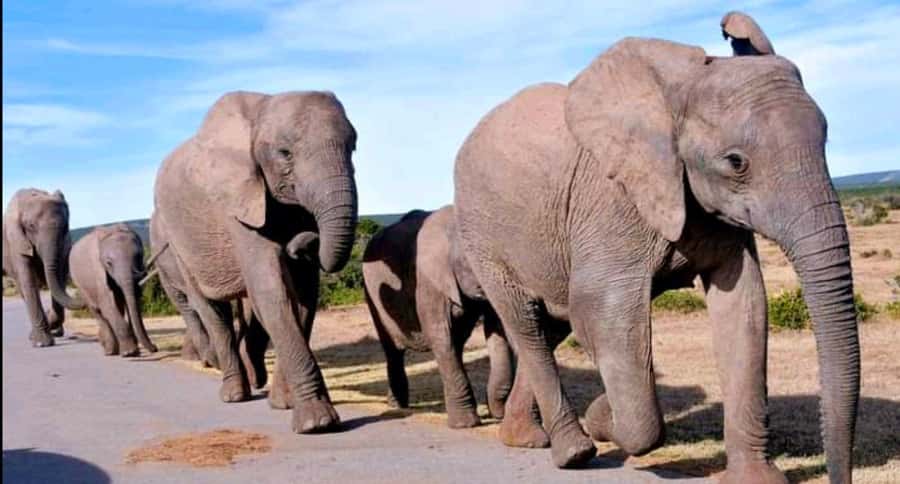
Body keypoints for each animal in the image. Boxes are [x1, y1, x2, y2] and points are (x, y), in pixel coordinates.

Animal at [2, 188, 85, 347]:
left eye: (66, 227)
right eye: (30, 226)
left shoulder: (64, 243)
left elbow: (59, 277)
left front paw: (49, 323)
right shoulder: (17, 242)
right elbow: (28, 282)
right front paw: (42, 343)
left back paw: (56, 332)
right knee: (22, 288)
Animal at [69, 224, 158, 356]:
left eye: (139, 257)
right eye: (109, 263)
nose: (155, 348)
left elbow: (132, 300)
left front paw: (133, 351)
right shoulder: (98, 270)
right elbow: (107, 304)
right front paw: (130, 352)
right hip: (79, 282)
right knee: (97, 311)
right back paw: (110, 351)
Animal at [153, 90, 358, 434]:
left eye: (353, 147)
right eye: (285, 154)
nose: (303, 241)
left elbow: (302, 298)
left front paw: (284, 404)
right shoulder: (237, 204)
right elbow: (272, 291)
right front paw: (316, 423)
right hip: (177, 243)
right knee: (212, 312)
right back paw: (234, 394)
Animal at [361, 205, 515, 429]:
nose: (500, 414)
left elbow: (495, 329)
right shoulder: (427, 281)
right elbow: (440, 335)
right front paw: (465, 425)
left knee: (455, 344)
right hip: (371, 293)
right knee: (392, 348)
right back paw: (397, 406)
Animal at [453, 11, 858, 484]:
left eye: (826, 144)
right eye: (736, 162)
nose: (840, 477)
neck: (678, 94)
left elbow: (745, 307)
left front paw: (757, 480)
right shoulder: (612, 201)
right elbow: (602, 310)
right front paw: (605, 417)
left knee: (552, 323)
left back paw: (524, 439)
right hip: (482, 234)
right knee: (527, 325)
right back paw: (574, 451)